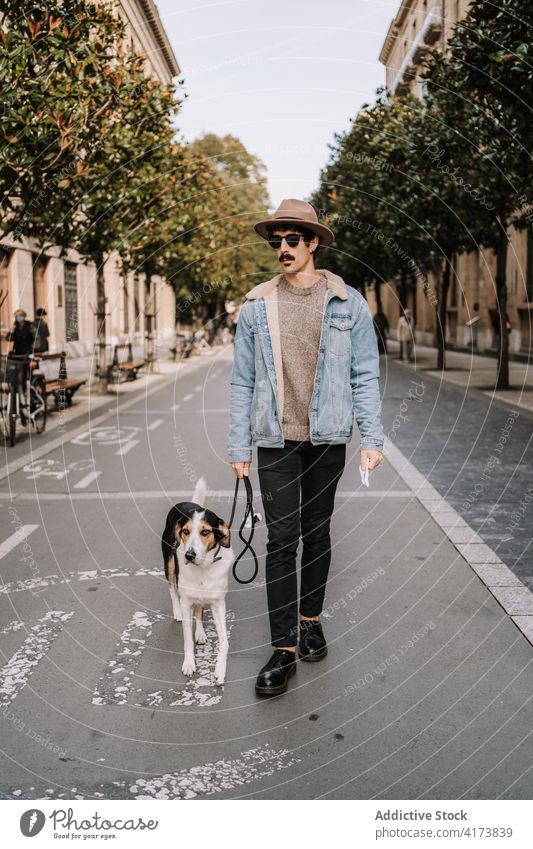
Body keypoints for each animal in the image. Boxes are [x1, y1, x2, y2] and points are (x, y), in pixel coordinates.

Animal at [160, 476, 231, 684]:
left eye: (205, 532)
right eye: (185, 531)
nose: (189, 555)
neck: (203, 568)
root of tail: (187, 502)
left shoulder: (218, 603)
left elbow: (224, 641)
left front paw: (220, 669)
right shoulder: (186, 602)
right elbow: (187, 640)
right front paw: (189, 664)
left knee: (199, 609)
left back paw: (200, 632)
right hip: (169, 564)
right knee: (172, 588)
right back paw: (176, 612)